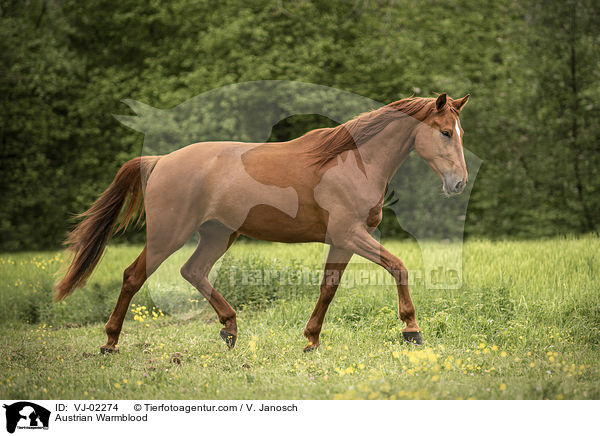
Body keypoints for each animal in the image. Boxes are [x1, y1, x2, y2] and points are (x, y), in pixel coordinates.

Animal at [55, 93, 468, 354]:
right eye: (445, 132)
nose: (459, 184)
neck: (353, 161)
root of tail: (160, 161)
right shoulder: (351, 234)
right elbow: (398, 266)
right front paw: (412, 331)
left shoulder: (342, 240)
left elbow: (328, 287)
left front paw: (311, 340)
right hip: (167, 235)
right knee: (133, 277)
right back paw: (110, 343)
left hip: (218, 235)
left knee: (193, 271)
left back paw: (230, 329)